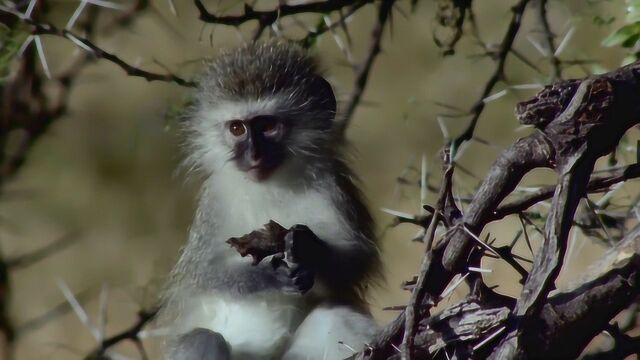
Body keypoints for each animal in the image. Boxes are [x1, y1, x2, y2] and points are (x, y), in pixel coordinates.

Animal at [161, 41, 380, 360]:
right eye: (237, 129)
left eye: (266, 126)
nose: (254, 156)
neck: (270, 186)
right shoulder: (213, 202)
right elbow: (201, 275)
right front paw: (267, 277)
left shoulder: (333, 187)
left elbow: (355, 264)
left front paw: (308, 248)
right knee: (202, 339)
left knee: (335, 316)